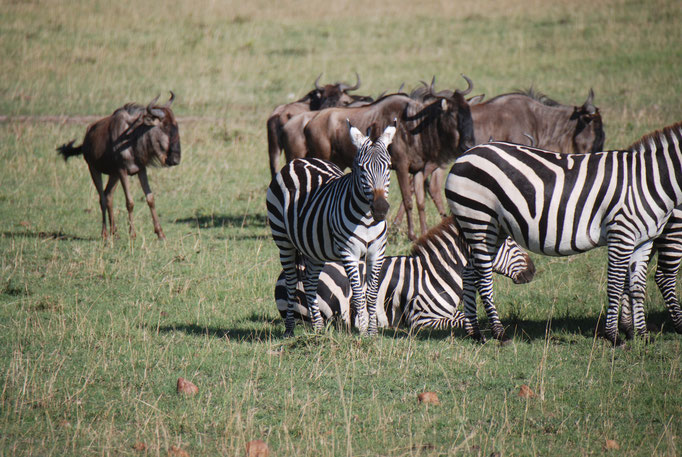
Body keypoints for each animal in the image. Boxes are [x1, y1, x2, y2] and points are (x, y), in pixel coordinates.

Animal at [264, 121, 394, 334]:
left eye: (389, 167)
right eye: (361, 168)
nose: (381, 209)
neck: (367, 219)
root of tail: (297, 161)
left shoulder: (377, 252)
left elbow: (372, 294)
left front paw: (373, 333)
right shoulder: (349, 252)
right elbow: (358, 293)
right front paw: (363, 333)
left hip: (314, 248)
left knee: (309, 281)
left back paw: (317, 328)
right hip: (283, 240)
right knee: (291, 281)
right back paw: (290, 329)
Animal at [270, 217, 532, 332]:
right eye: (509, 243)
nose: (533, 270)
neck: (438, 274)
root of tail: (286, 273)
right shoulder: (422, 317)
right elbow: (460, 319)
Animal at [444, 119, 680, 344]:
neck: (649, 180)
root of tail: (466, 154)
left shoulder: (644, 240)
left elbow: (637, 287)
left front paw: (642, 336)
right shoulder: (621, 233)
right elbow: (615, 284)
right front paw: (613, 337)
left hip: (494, 228)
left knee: (469, 272)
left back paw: (476, 333)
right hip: (478, 219)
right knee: (483, 277)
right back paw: (499, 334)